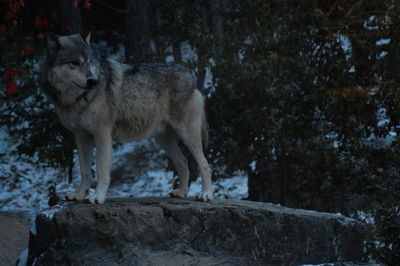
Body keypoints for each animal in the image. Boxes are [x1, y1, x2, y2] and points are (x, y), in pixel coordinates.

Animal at [41, 33, 214, 204]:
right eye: (75, 63)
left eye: (89, 62)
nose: (93, 81)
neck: (79, 98)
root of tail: (189, 73)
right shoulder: (81, 137)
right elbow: (85, 171)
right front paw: (78, 195)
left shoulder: (102, 135)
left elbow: (101, 171)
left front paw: (97, 196)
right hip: (163, 140)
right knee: (183, 162)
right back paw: (182, 192)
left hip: (187, 135)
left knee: (205, 164)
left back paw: (206, 194)